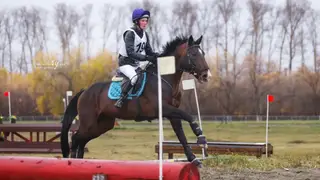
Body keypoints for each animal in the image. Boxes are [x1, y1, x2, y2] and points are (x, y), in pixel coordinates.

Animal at [60, 34, 210, 167]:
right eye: (194, 54)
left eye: (203, 53)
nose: (205, 74)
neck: (164, 79)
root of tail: (84, 91)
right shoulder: (163, 108)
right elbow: (189, 116)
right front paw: (199, 134)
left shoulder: (172, 113)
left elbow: (181, 134)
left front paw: (193, 158)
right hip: (89, 122)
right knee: (76, 138)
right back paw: (71, 161)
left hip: (102, 125)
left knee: (82, 141)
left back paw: (80, 162)